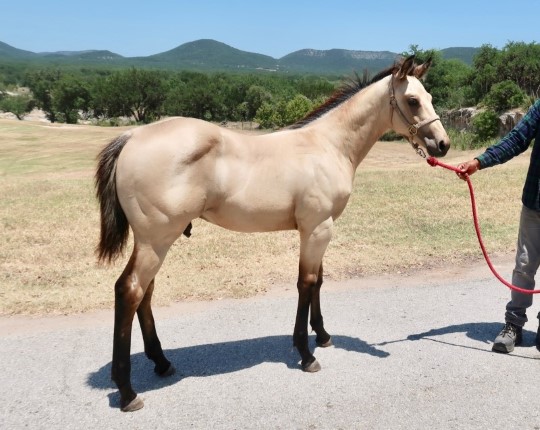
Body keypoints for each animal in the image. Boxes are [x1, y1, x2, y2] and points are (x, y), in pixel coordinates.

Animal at [95, 55, 450, 412]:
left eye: (430, 97)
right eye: (413, 100)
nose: (442, 144)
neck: (328, 146)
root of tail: (133, 136)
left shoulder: (319, 229)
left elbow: (318, 282)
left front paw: (322, 336)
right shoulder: (316, 229)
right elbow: (306, 284)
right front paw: (306, 354)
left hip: (154, 242)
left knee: (145, 294)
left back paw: (162, 362)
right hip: (156, 241)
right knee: (129, 291)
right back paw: (128, 392)